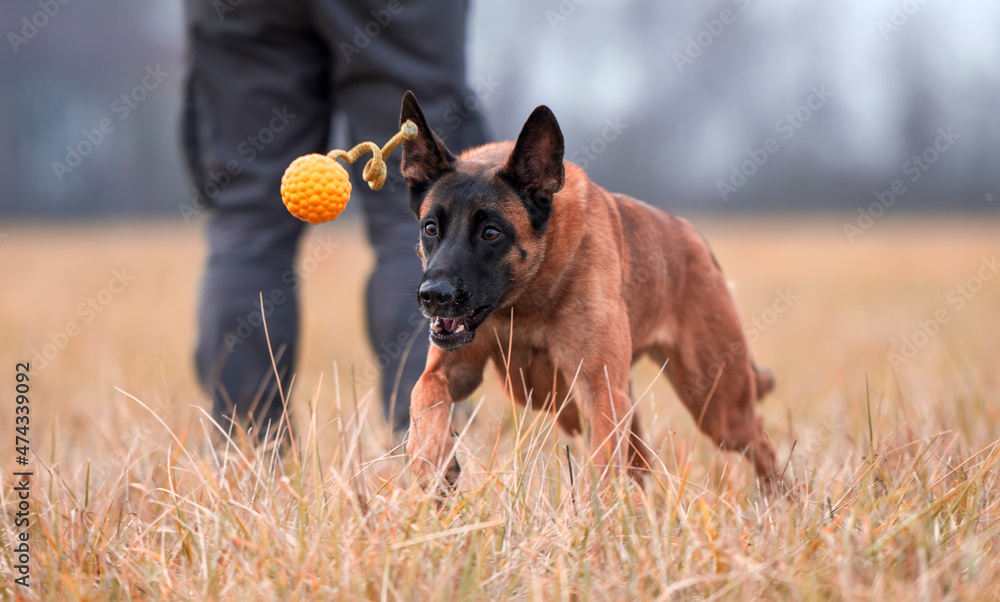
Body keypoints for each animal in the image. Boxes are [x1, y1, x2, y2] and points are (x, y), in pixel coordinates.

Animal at [398, 91, 780, 490]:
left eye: (491, 232)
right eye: (430, 228)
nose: (433, 296)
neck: (524, 302)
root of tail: (694, 238)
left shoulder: (599, 390)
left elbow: (603, 466)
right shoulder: (449, 368)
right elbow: (423, 395)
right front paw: (431, 459)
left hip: (717, 406)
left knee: (759, 442)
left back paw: (780, 498)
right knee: (642, 460)